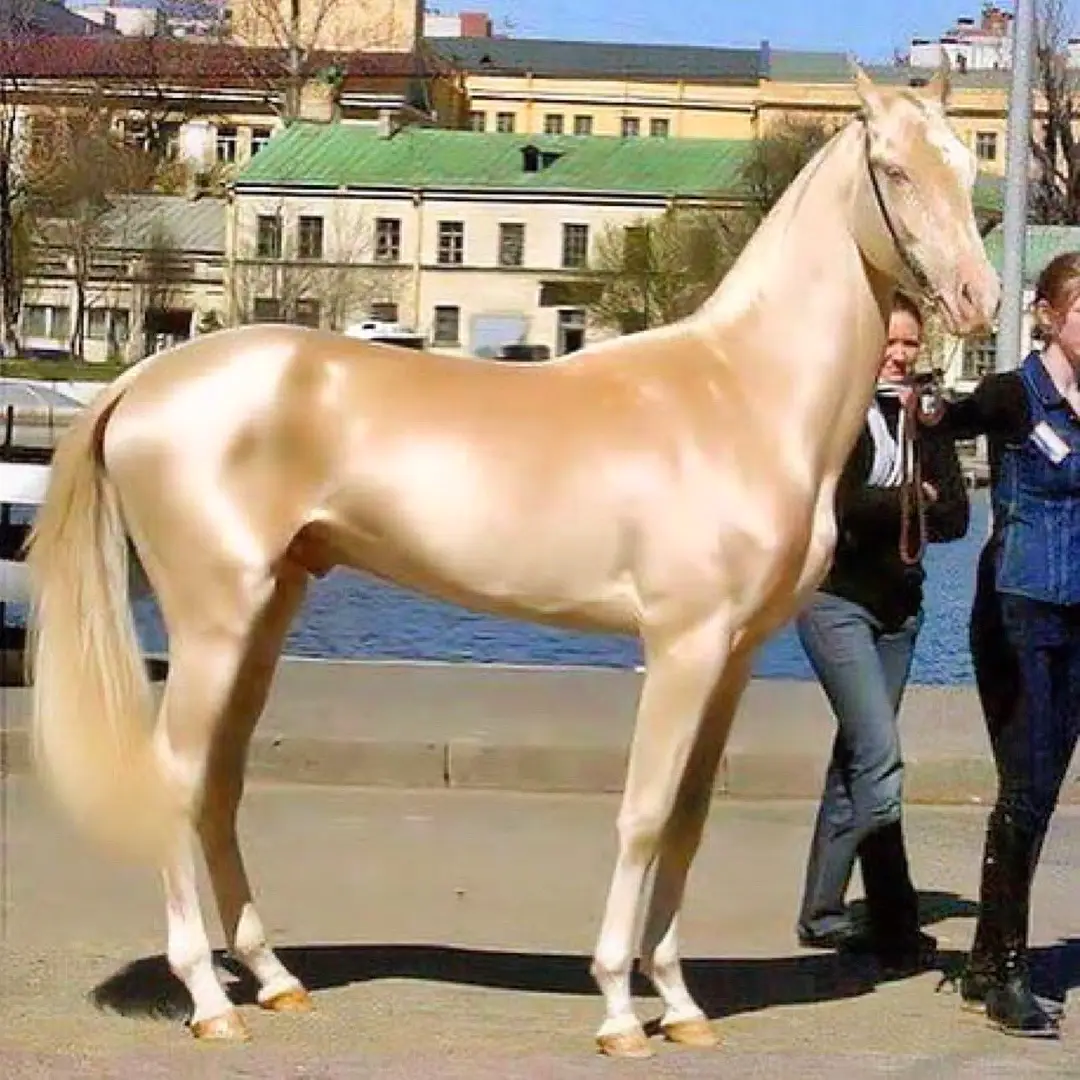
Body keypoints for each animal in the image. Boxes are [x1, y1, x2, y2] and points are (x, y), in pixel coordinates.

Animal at [26, 63, 998, 1059]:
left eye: (965, 167)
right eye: (895, 169)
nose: (979, 299)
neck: (740, 394)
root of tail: (143, 381)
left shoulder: (731, 658)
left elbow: (687, 821)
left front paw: (681, 1003)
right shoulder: (682, 646)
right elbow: (644, 815)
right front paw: (619, 1010)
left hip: (266, 613)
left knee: (219, 782)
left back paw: (273, 980)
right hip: (213, 619)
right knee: (177, 779)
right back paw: (208, 999)